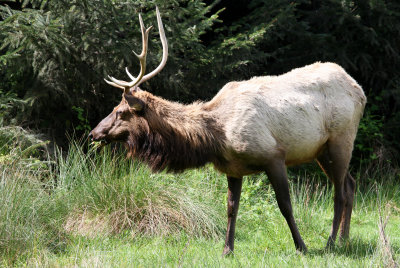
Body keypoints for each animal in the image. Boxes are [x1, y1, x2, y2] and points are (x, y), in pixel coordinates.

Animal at [89, 7, 368, 255]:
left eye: (121, 112)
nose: (93, 133)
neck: (216, 138)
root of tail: (359, 89)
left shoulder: (274, 155)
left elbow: (285, 205)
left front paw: (302, 246)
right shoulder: (233, 168)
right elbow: (231, 208)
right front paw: (227, 250)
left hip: (341, 138)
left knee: (340, 192)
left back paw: (331, 242)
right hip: (321, 151)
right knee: (350, 184)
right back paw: (344, 239)